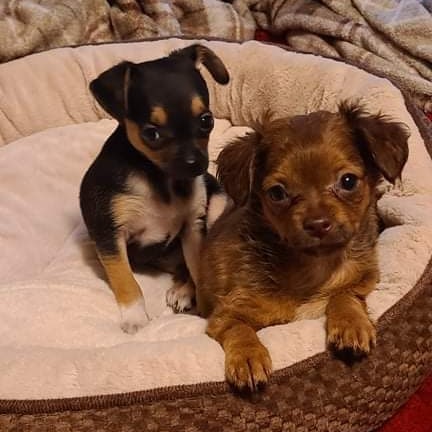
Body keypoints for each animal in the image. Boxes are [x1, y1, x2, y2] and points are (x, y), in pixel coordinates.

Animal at [80, 44, 230, 334]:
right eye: (152, 133)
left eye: (206, 120)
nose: (195, 165)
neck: (161, 180)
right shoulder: (108, 234)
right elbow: (125, 279)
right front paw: (135, 317)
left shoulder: (193, 226)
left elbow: (198, 266)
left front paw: (204, 305)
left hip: (217, 206)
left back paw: (184, 291)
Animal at [196, 102, 408, 392]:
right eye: (277, 193)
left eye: (348, 181)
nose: (317, 224)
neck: (315, 266)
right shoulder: (224, 314)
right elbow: (238, 329)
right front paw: (248, 357)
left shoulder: (364, 277)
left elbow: (345, 294)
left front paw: (351, 324)